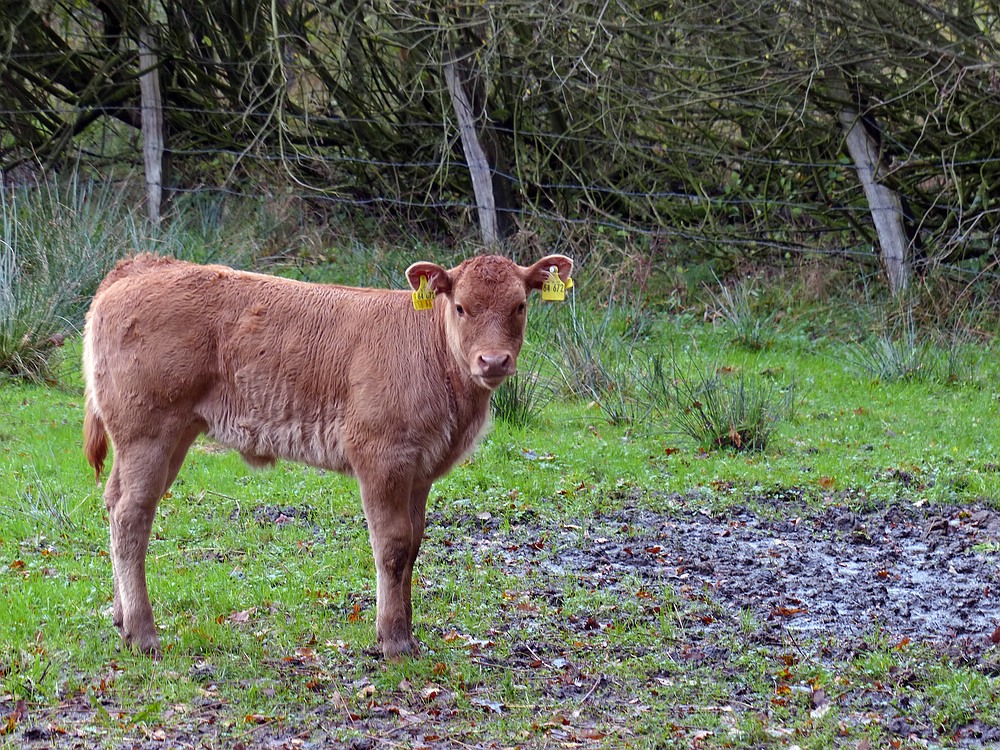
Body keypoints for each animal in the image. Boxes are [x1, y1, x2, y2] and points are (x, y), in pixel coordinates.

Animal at [83, 251, 576, 656]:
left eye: (520, 305)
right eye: (460, 307)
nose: (493, 361)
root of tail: (140, 266)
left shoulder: (420, 470)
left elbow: (414, 544)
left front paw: (406, 630)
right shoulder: (381, 456)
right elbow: (393, 546)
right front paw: (394, 639)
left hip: (168, 437)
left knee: (113, 502)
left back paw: (120, 616)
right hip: (149, 432)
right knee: (130, 517)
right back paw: (143, 633)